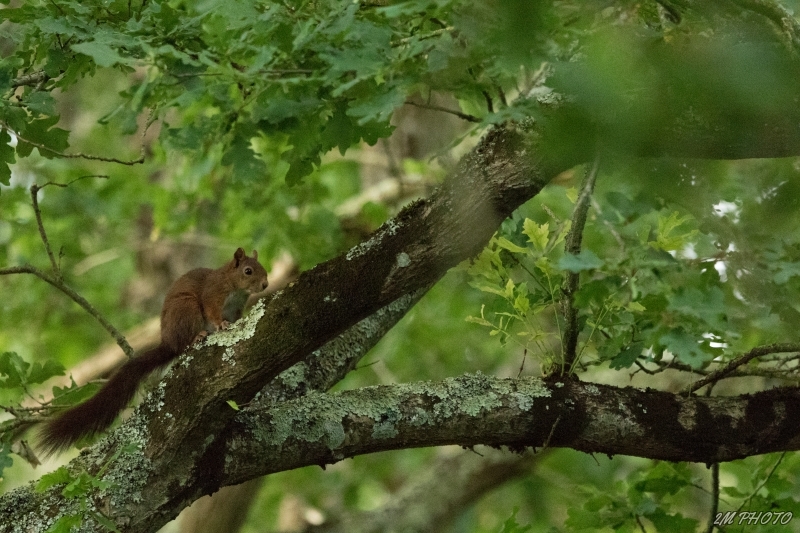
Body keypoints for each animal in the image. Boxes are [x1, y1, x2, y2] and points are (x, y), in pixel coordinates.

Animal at [39, 248, 268, 454]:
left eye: (263, 268)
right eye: (248, 271)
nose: (265, 284)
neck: (234, 286)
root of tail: (169, 342)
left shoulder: (237, 307)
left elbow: (236, 317)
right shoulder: (212, 294)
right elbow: (212, 311)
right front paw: (221, 324)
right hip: (186, 308)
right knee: (185, 339)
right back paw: (197, 336)